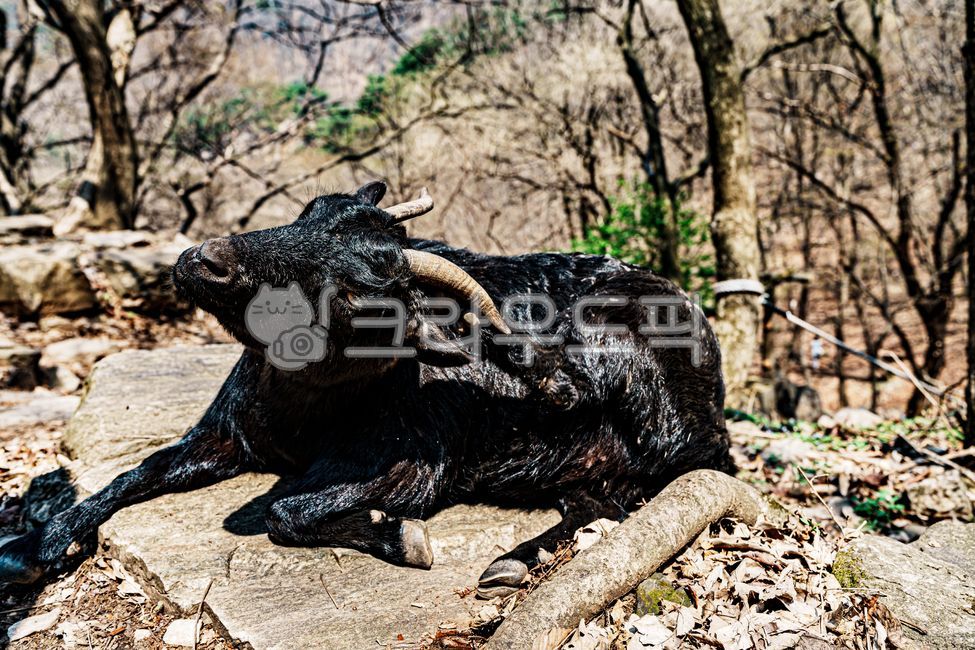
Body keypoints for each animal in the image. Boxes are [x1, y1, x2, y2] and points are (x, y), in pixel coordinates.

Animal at [0, 181, 733, 597]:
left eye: (358, 293)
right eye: (310, 212)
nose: (205, 259)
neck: (302, 407)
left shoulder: (408, 466)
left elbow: (284, 512)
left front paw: (400, 538)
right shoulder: (226, 435)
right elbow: (139, 472)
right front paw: (30, 549)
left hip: (665, 435)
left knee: (645, 495)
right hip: (585, 471)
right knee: (594, 505)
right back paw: (513, 563)